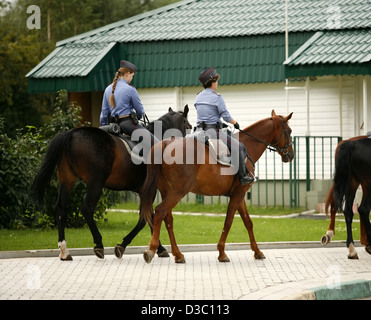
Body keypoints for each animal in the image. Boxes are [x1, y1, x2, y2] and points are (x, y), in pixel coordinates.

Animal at [32, 106, 192, 262]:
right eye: (188, 126)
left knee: (61, 208)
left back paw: (64, 251)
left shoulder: (143, 192)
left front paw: (157, 248)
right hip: (95, 183)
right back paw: (98, 245)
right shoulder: (148, 191)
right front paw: (126, 246)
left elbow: (149, 218)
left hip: (67, 180)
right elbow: (145, 219)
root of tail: (71, 134)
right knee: (87, 209)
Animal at [140, 110, 296, 262]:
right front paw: (222, 252)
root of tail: (165, 144)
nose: (291, 155)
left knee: (168, 219)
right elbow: (228, 221)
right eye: (289, 131)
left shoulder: (239, 195)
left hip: (167, 191)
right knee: (160, 211)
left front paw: (257, 252)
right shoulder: (238, 194)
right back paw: (152, 249)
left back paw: (178, 254)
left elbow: (248, 222)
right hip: (178, 192)